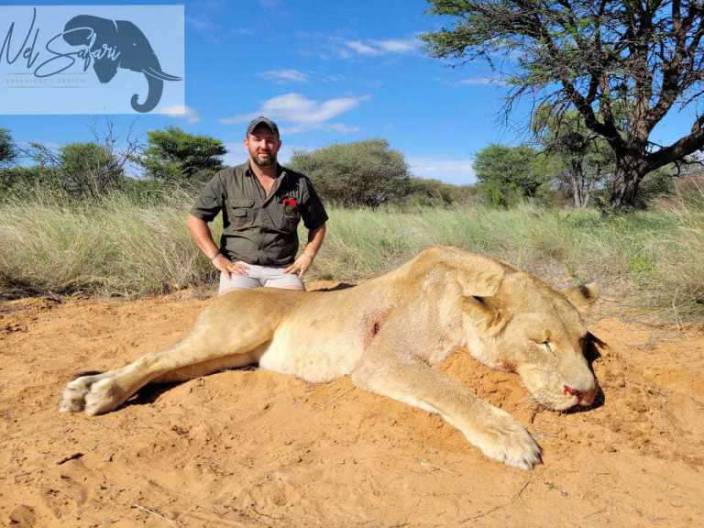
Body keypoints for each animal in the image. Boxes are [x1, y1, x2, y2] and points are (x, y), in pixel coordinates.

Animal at [60, 246, 601, 470]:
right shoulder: (382, 360)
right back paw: (97, 394)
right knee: (152, 358)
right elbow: (449, 391)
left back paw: (81, 390)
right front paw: (511, 439)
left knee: (164, 365)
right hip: (234, 332)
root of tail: (226, 295)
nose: (586, 395)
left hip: (229, 357)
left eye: (583, 343)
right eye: (542, 341)